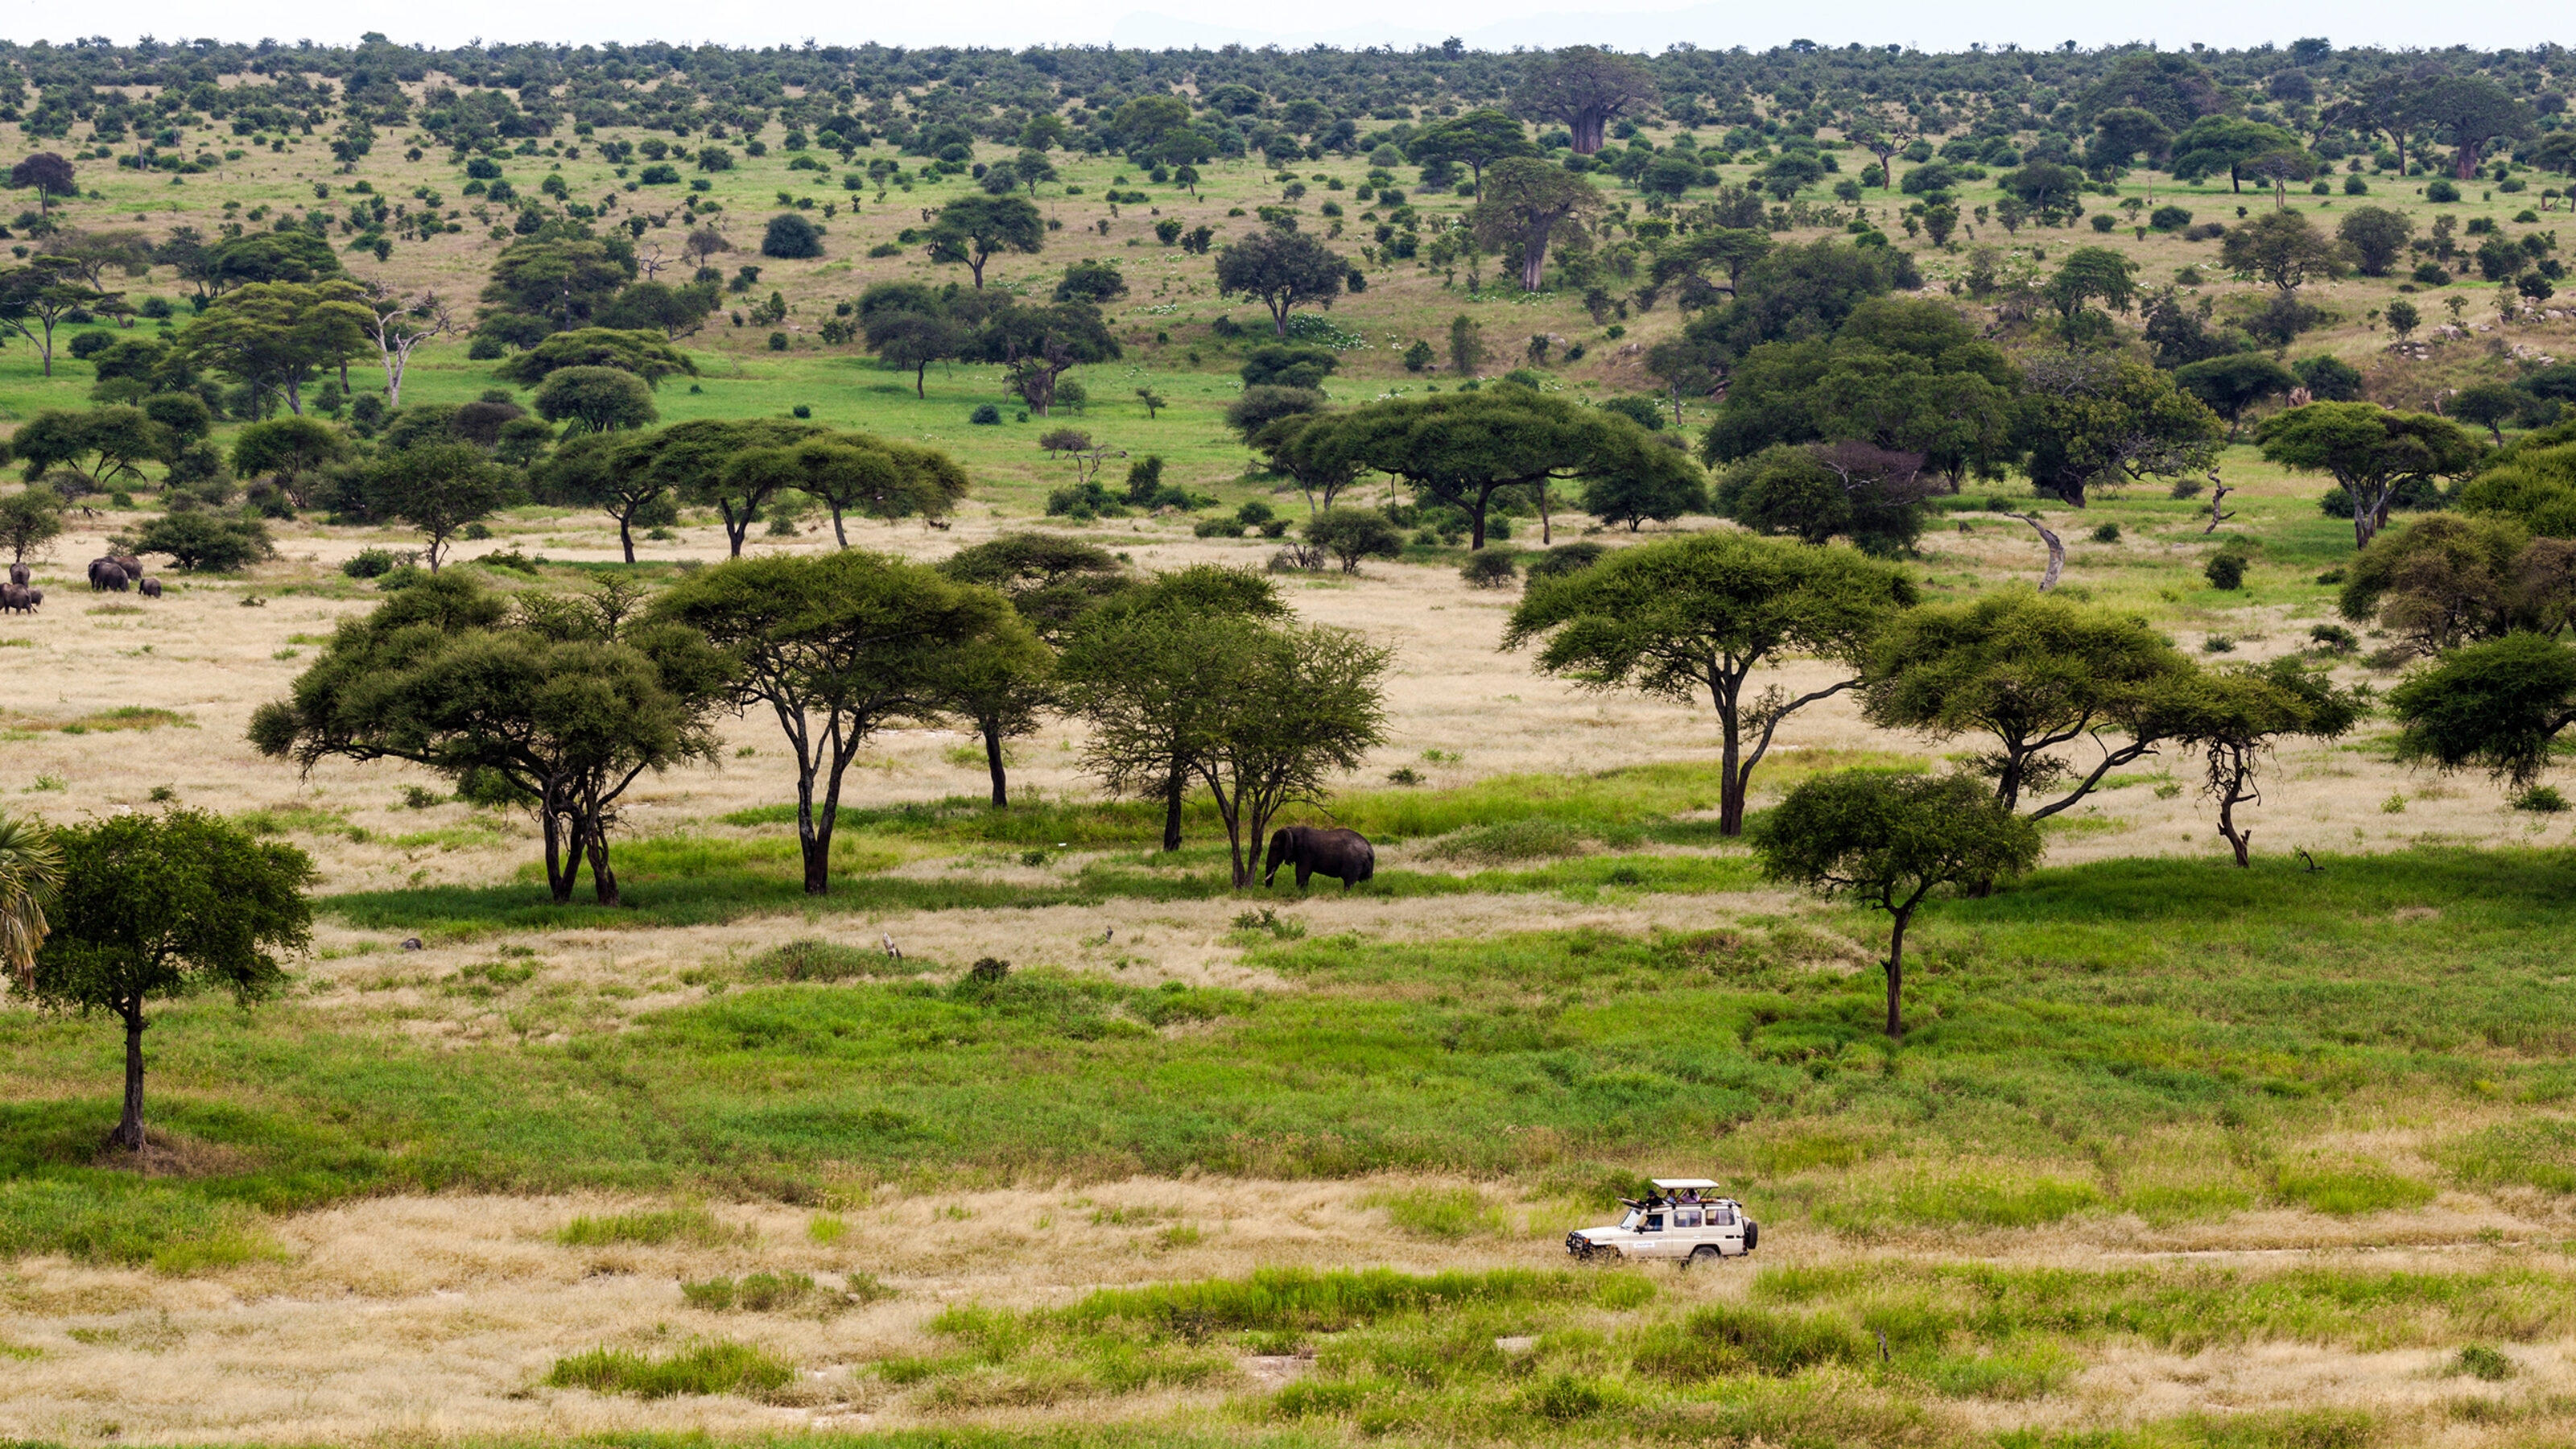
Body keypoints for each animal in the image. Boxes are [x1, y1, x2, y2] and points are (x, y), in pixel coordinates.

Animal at [1263, 826, 1375, 892]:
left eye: (1274, 848)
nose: (1269, 889)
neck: (1291, 830)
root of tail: (1368, 848)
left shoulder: (1304, 853)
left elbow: (1302, 873)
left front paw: (1300, 892)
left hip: (1353, 862)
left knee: (1349, 882)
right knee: (1366, 880)